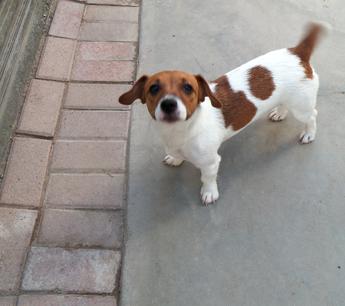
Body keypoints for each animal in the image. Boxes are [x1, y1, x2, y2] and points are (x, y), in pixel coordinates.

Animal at [118, 22, 328, 206]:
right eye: (153, 88)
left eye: (188, 88)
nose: (168, 104)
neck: (182, 130)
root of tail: (297, 52)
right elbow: (177, 156)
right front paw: (175, 159)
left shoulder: (211, 162)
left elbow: (207, 178)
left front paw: (209, 193)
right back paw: (279, 113)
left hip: (302, 108)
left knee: (312, 116)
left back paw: (309, 134)